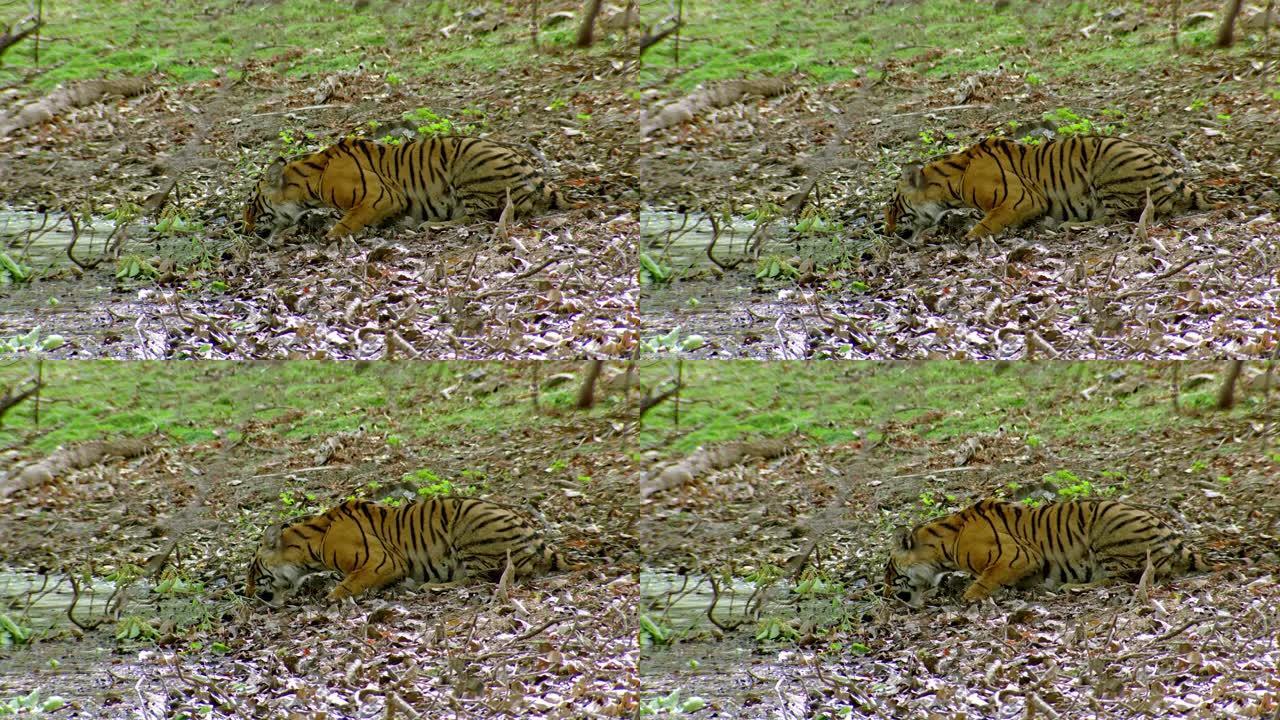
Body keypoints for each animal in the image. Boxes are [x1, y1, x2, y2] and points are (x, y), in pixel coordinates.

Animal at [241, 131, 563, 238]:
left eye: (251, 206)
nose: (243, 230)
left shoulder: (379, 196)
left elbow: (345, 223)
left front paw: (330, 236)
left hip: (469, 164)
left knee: (479, 218)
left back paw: (429, 225)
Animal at [243, 491, 570, 604]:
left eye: (253, 571)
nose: (246, 594)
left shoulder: (380, 561)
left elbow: (346, 585)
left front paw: (331, 597)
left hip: (470, 525)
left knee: (478, 579)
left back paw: (428, 586)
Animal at [885, 131, 1203, 238]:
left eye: (892, 206)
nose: (886, 232)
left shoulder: (1019, 198)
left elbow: (985, 223)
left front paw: (970, 236)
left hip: (1109, 165)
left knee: (1121, 218)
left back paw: (1066, 225)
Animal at [885, 499, 1203, 604]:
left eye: (889, 573)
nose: (885, 594)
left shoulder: (1016, 556)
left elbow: (983, 581)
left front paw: (969, 597)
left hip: (1108, 528)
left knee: (1123, 578)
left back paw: (1071, 587)